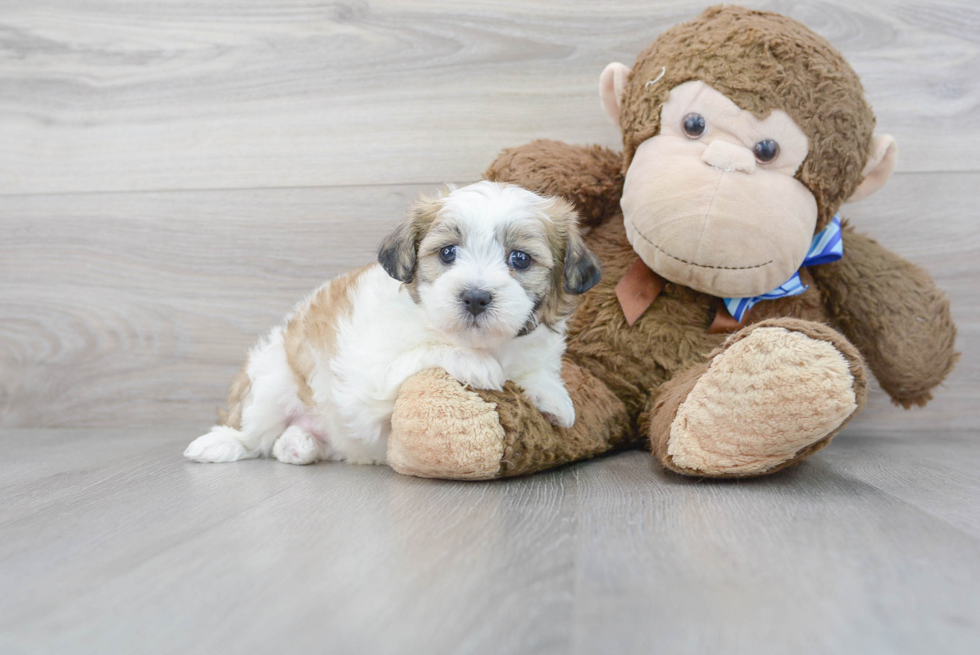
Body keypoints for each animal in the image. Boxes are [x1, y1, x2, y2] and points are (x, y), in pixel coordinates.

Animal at [180, 181, 600, 466]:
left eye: (520, 259)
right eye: (448, 253)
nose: (476, 297)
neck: (480, 341)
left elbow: (536, 369)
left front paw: (554, 396)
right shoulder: (370, 380)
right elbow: (422, 354)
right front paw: (477, 366)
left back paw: (298, 444)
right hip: (272, 381)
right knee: (253, 430)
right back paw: (221, 444)